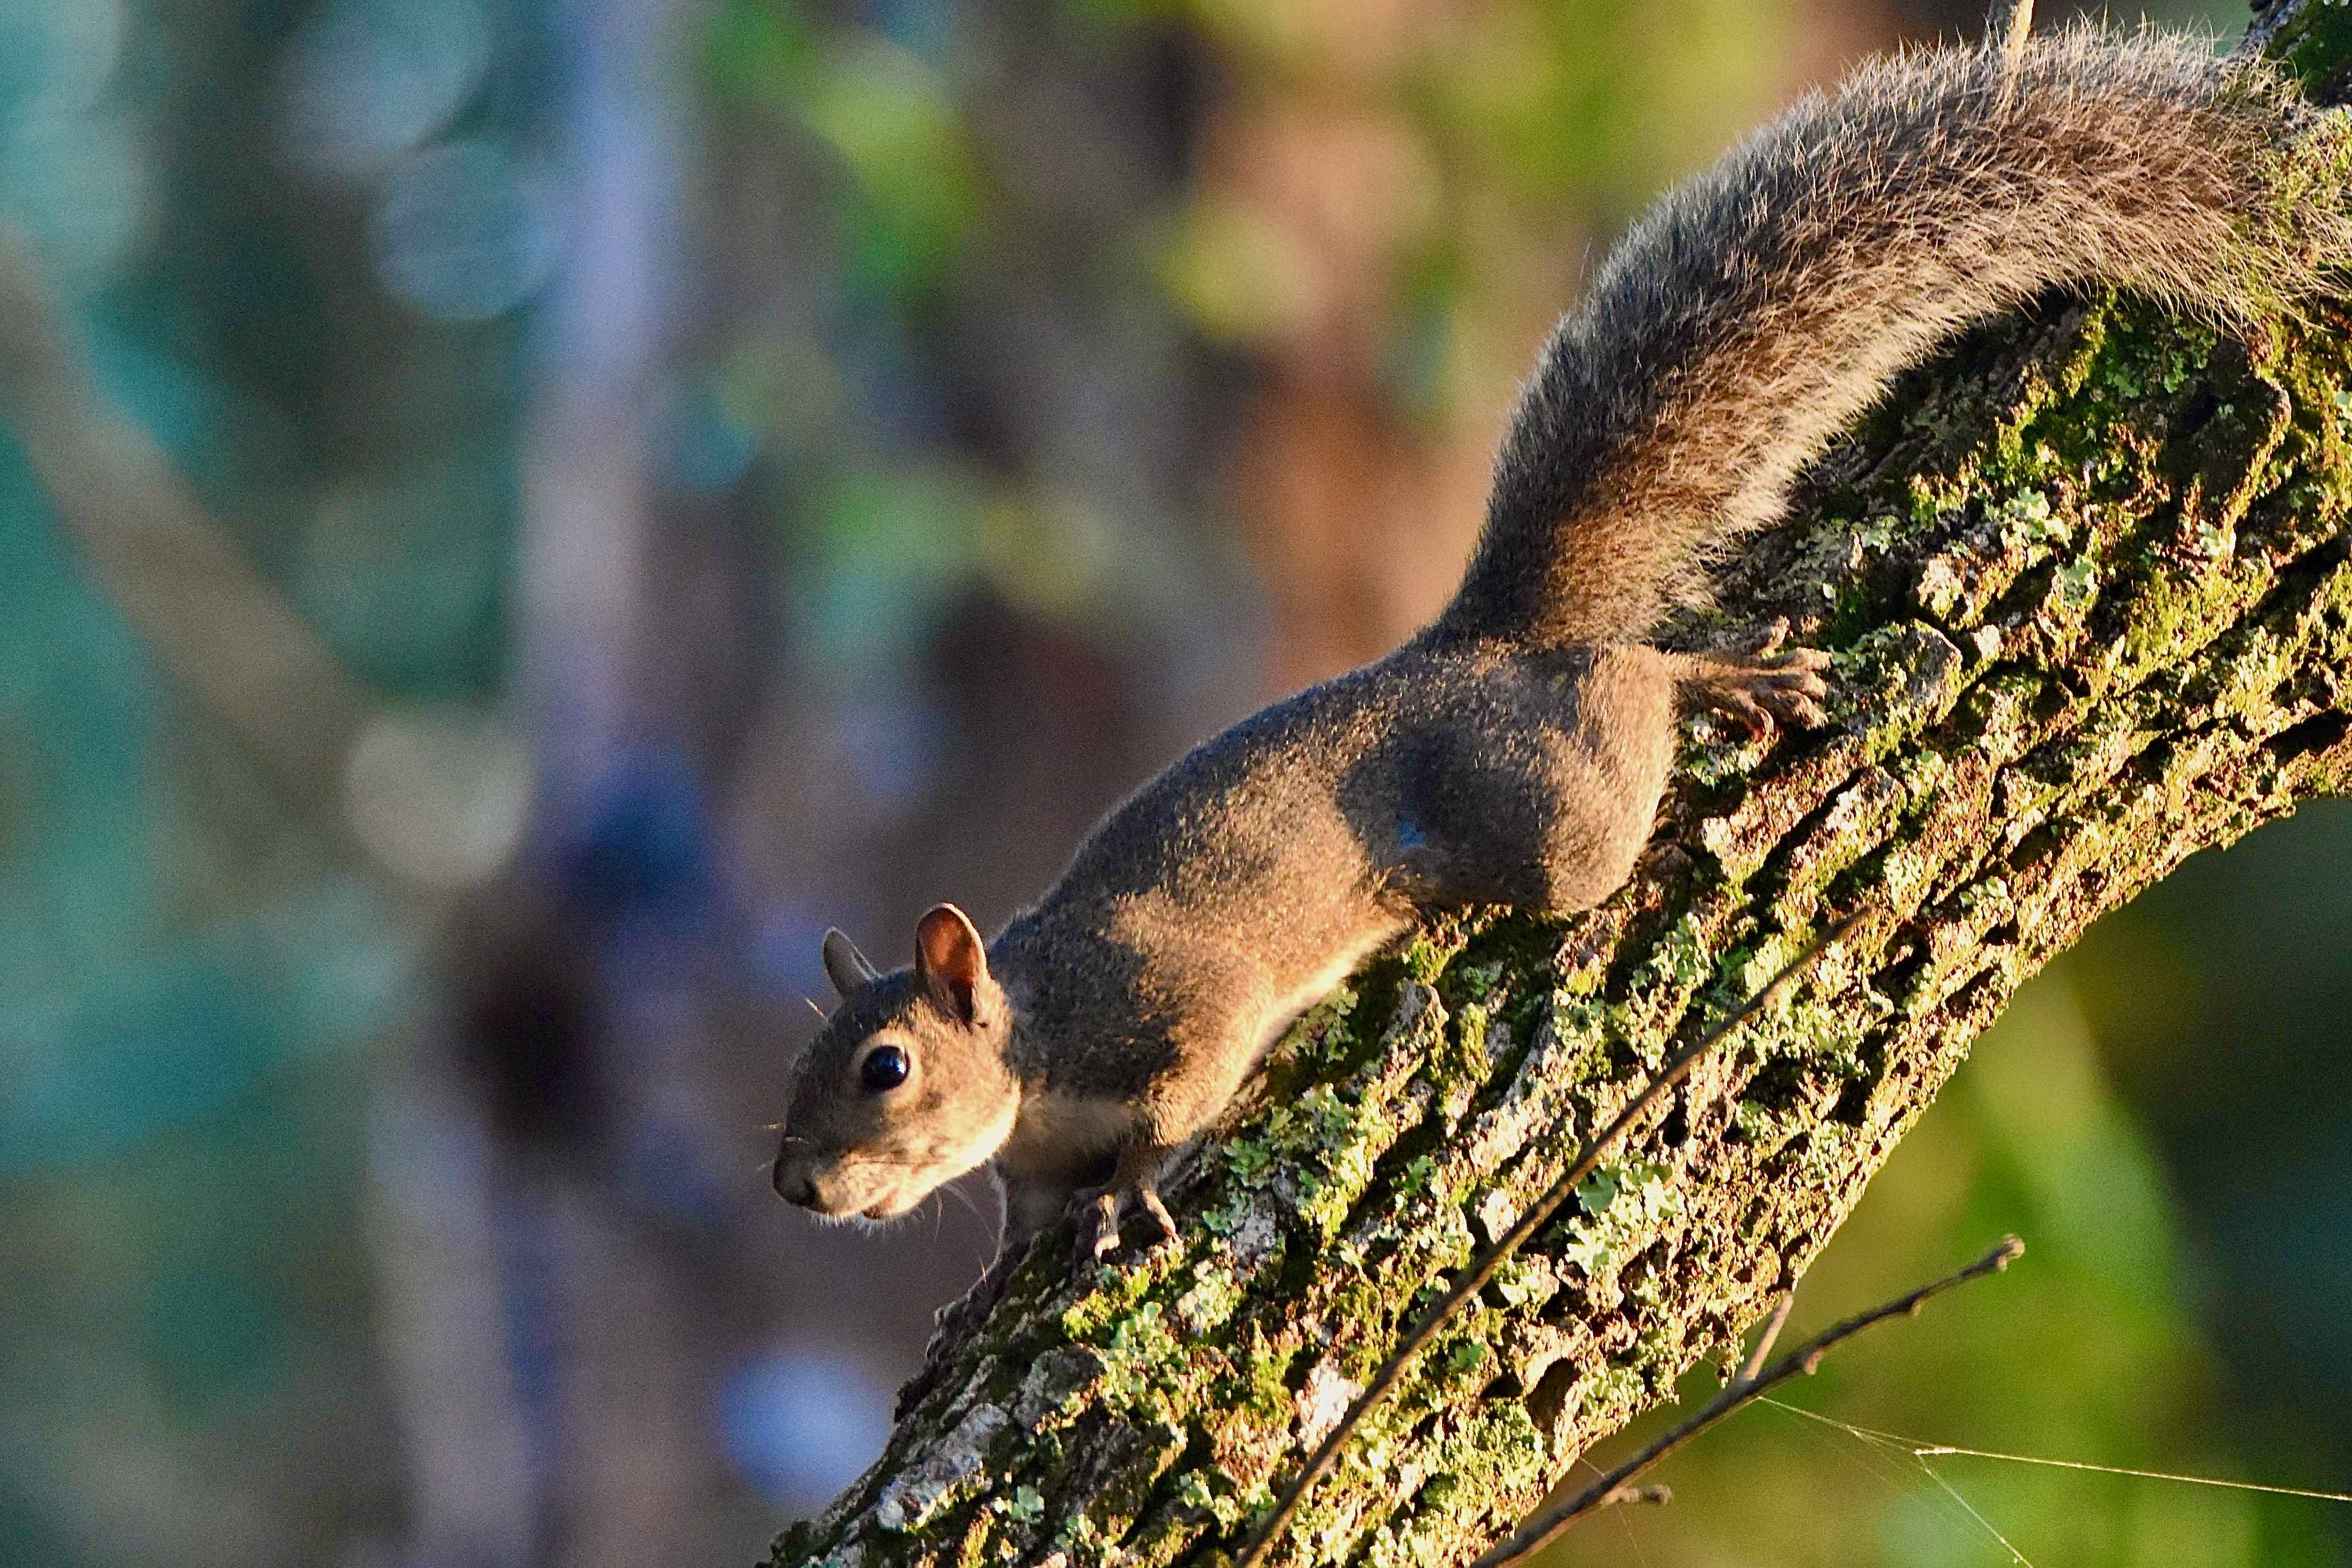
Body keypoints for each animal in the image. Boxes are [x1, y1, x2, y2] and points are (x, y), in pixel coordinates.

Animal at [772, 26, 2347, 1307]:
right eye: (806, 1061)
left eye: (883, 1065)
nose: (794, 1184)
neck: (1032, 1041)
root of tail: (1484, 643)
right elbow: (1019, 1207)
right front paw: (996, 1270)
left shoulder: (1166, 999)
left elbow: (1182, 1093)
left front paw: (1124, 1197)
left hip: (1543, 818)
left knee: (1623, 694)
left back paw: (1712, 681)